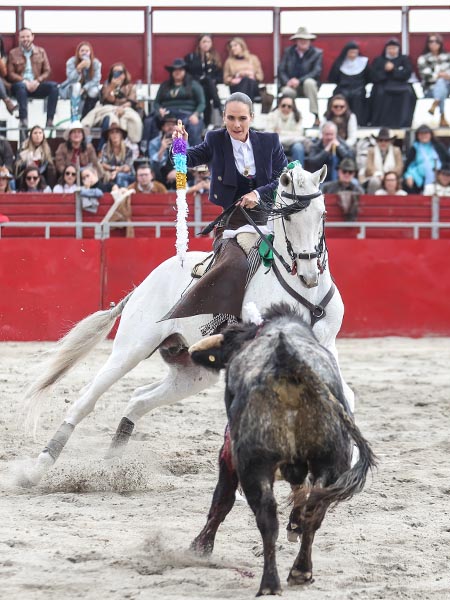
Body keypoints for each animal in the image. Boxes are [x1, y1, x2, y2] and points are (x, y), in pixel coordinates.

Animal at [19, 163, 354, 488]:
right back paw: (35, 471)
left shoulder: (324, 347)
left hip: (193, 372)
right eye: (289, 217)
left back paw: (113, 469)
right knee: (86, 399)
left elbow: (343, 396)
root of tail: (141, 286)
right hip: (131, 349)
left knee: (139, 399)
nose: (310, 273)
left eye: (323, 214)